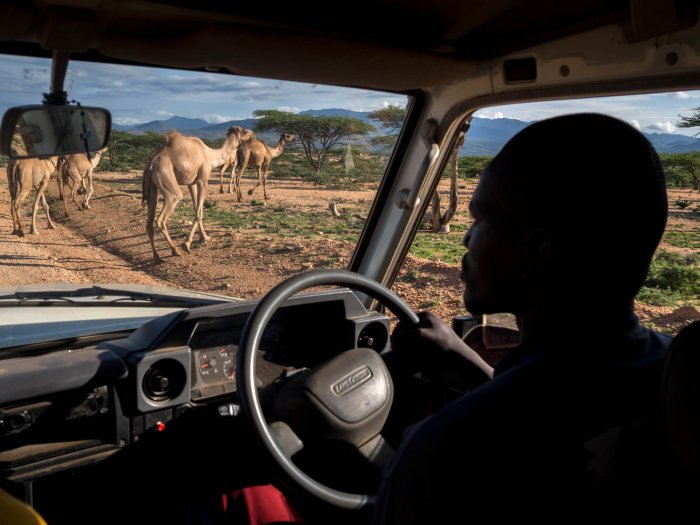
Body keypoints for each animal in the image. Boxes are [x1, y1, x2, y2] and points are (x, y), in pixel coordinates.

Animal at [142, 125, 254, 264]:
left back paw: (157, 257)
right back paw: (175, 251)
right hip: (169, 186)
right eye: (244, 131)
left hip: (152, 189)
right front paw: (187, 244)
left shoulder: (192, 183)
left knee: (149, 223)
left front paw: (204, 237)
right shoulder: (203, 180)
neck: (210, 156)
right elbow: (199, 212)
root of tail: (151, 165)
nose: (253, 134)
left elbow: (197, 208)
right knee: (162, 218)